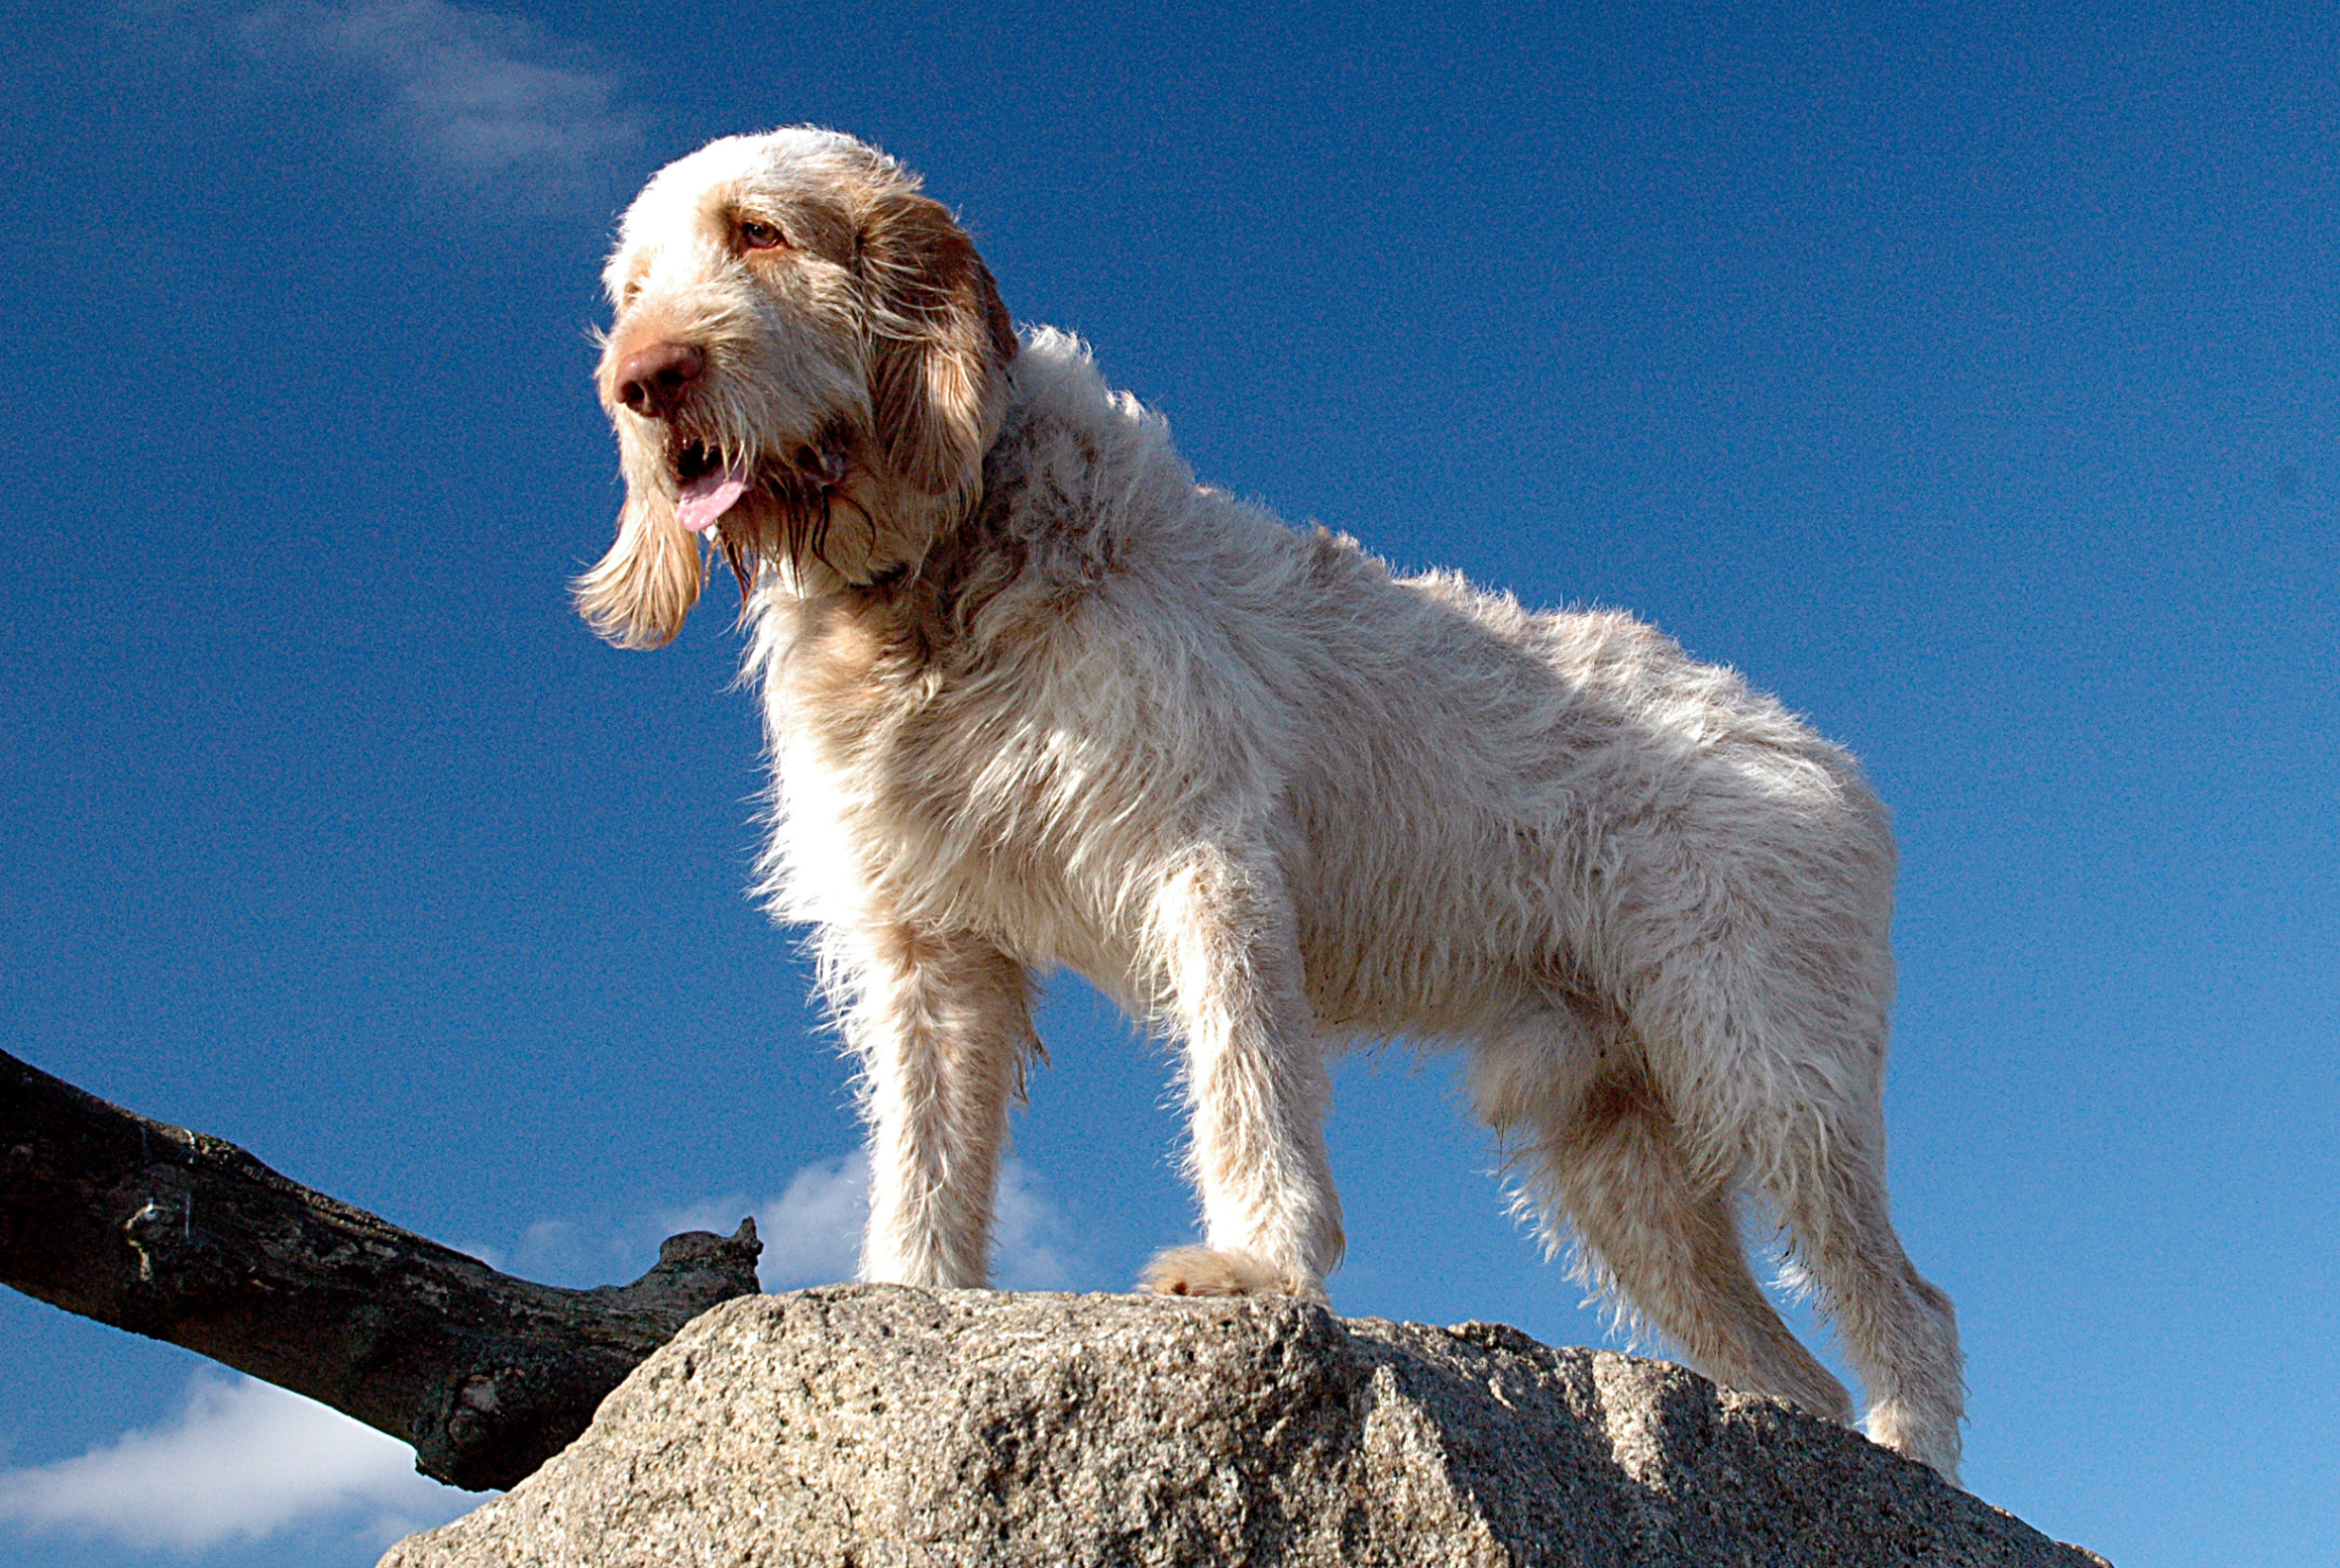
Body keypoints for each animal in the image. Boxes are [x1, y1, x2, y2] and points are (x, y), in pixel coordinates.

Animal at [576, 128, 1966, 1479]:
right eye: (630, 292)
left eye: (761, 231)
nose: (643, 382)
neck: (938, 576)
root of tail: (1825, 760)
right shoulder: (932, 941)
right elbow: (928, 1146)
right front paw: (905, 1291)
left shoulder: (1203, 857)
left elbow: (1245, 1075)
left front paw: (1257, 1264)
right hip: (1618, 1152)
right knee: (1796, 1376)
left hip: (1765, 1067)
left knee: (1910, 1305)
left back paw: (1921, 1466)